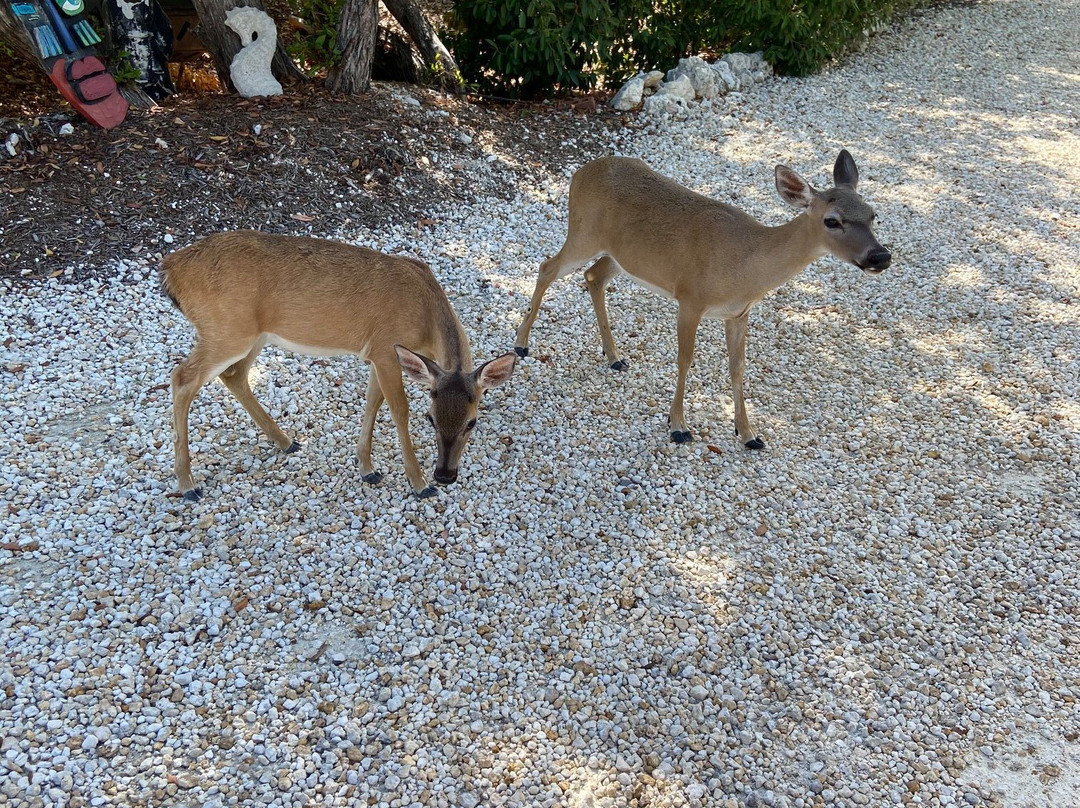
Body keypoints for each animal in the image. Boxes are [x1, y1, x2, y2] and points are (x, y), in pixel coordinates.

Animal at [161, 231, 517, 501]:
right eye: (430, 418)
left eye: (472, 422)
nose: (444, 475)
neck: (425, 317)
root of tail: (171, 268)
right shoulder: (386, 349)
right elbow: (398, 410)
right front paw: (418, 484)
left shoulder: (378, 354)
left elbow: (373, 402)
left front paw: (367, 469)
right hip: (226, 330)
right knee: (182, 377)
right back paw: (188, 484)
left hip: (252, 336)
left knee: (233, 375)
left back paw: (286, 442)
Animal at [514, 150, 891, 449]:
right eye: (832, 221)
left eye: (873, 214)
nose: (880, 256)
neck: (745, 265)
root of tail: (580, 173)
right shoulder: (690, 297)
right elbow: (685, 360)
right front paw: (679, 426)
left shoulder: (738, 313)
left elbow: (738, 367)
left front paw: (748, 434)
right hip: (583, 232)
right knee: (548, 266)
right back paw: (521, 344)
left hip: (621, 255)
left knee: (593, 277)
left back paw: (614, 357)